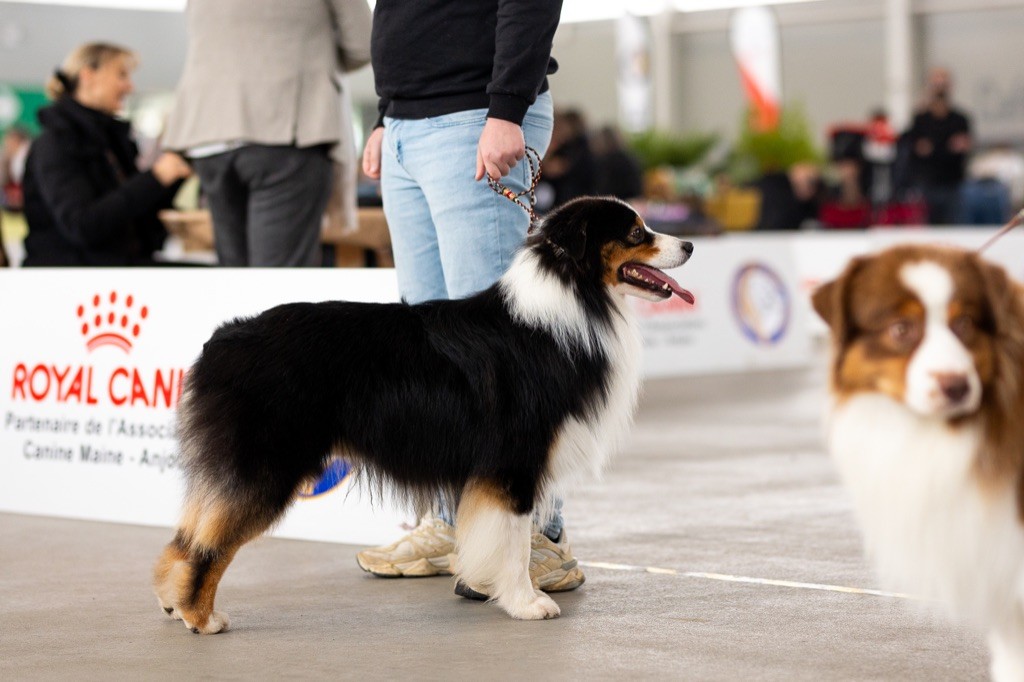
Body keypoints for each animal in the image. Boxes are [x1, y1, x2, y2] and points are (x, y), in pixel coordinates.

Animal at [151, 196, 696, 630]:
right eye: (636, 233)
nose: (690, 244)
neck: (574, 297)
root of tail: (223, 340)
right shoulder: (515, 461)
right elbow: (516, 542)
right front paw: (526, 604)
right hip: (267, 464)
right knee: (211, 544)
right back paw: (201, 617)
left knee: (187, 534)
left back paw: (173, 603)